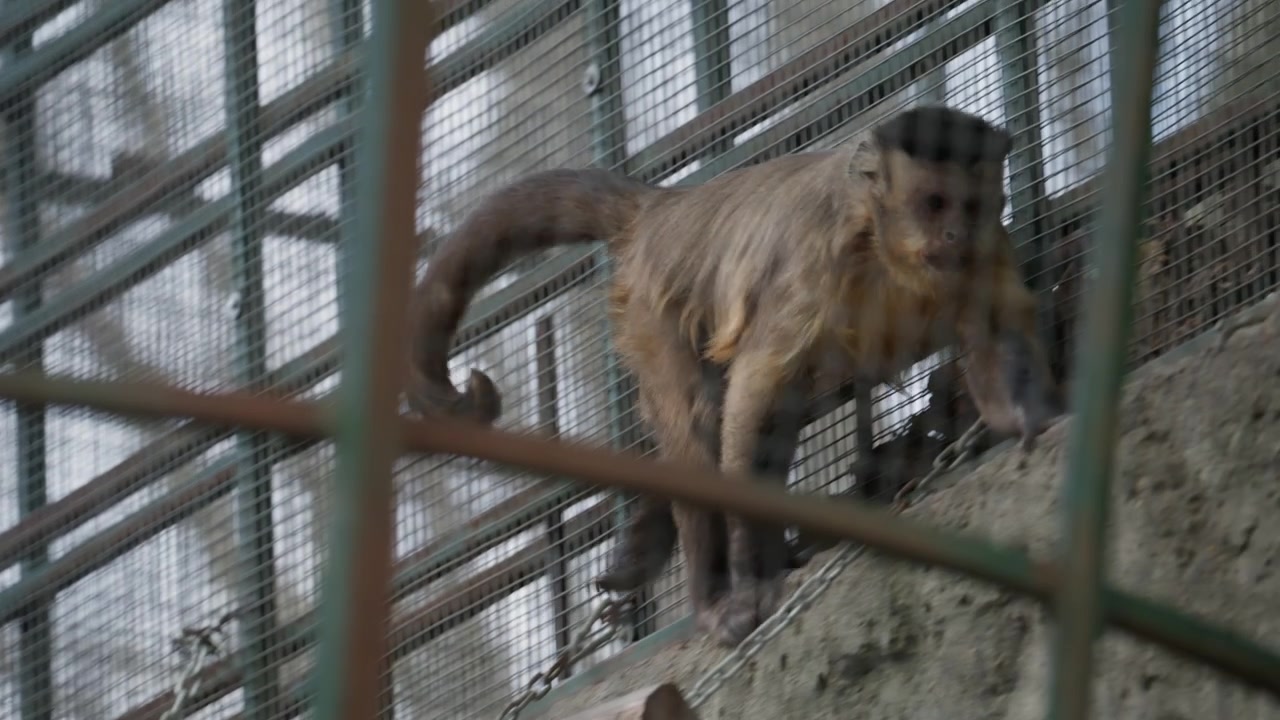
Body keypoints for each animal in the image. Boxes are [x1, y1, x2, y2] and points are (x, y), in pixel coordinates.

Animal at [406, 105, 1061, 648]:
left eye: (970, 206)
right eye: (933, 203)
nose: (955, 233)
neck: (885, 251)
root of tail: (668, 207)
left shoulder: (988, 248)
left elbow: (996, 333)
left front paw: (1027, 418)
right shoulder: (816, 261)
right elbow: (753, 397)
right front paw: (750, 585)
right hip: (652, 306)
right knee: (701, 422)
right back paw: (712, 597)